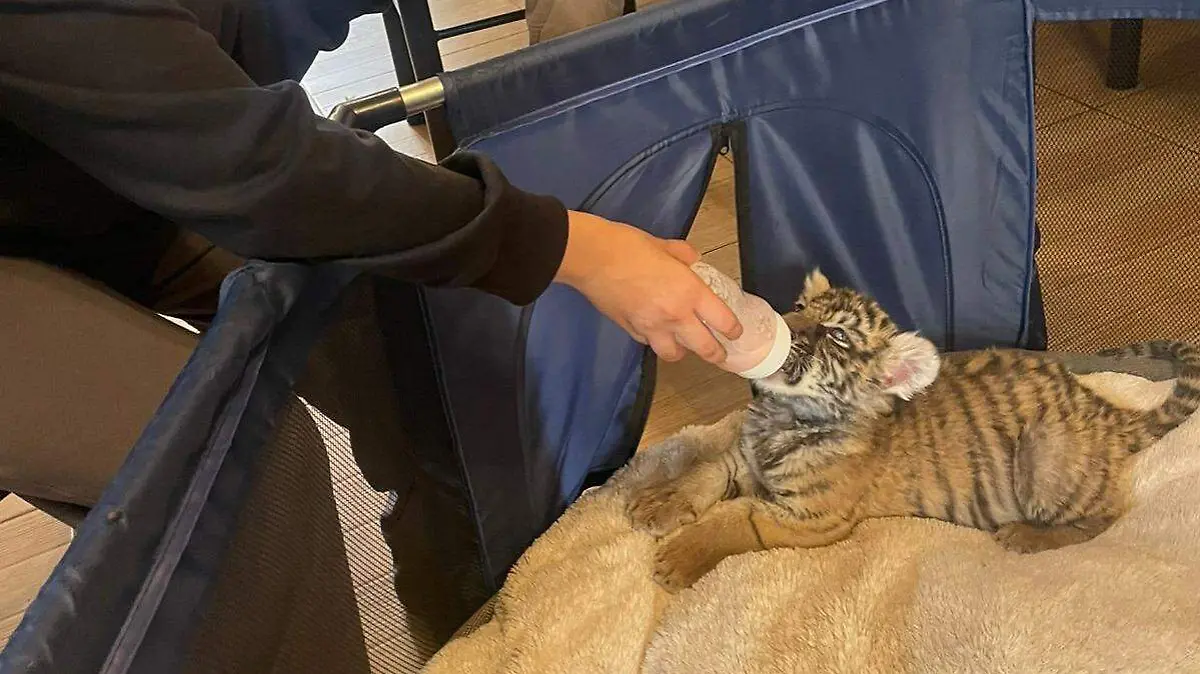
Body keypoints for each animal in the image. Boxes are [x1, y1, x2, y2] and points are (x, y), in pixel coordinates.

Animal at [627, 269, 1200, 592]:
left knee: (1104, 516)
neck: (786, 416)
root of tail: (1103, 410)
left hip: (1045, 453)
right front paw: (655, 502)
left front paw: (676, 559)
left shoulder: (812, 519)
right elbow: (703, 473)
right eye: (800, 307)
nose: (784, 325)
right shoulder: (741, 458)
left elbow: (735, 519)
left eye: (837, 336)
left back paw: (1025, 537)